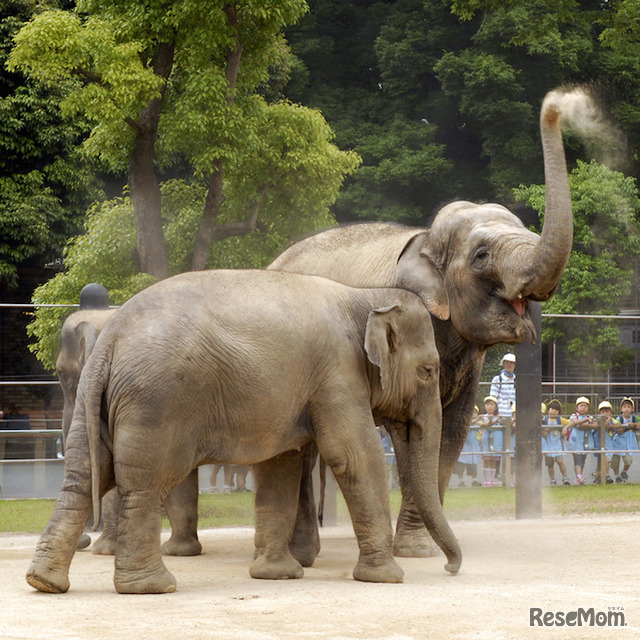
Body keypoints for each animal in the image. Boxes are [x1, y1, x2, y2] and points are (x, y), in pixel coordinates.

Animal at [26, 270, 460, 596]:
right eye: (428, 371)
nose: (451, 568)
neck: (364, 295)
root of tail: (110, 341)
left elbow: (279, 465)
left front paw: (278, 575)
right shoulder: (338, 371)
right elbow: (354, 456)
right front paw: (387, 578)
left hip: (94, 401)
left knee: (81, 479)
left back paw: (44, 581)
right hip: (158, 402)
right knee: (145, 484)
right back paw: (152, 587)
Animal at [270, 89, 596, 560]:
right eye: (481, 255)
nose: (560, 101)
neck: (425, 238)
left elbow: (451, 432)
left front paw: (422, 545)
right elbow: (412, 436)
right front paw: (417, 550)